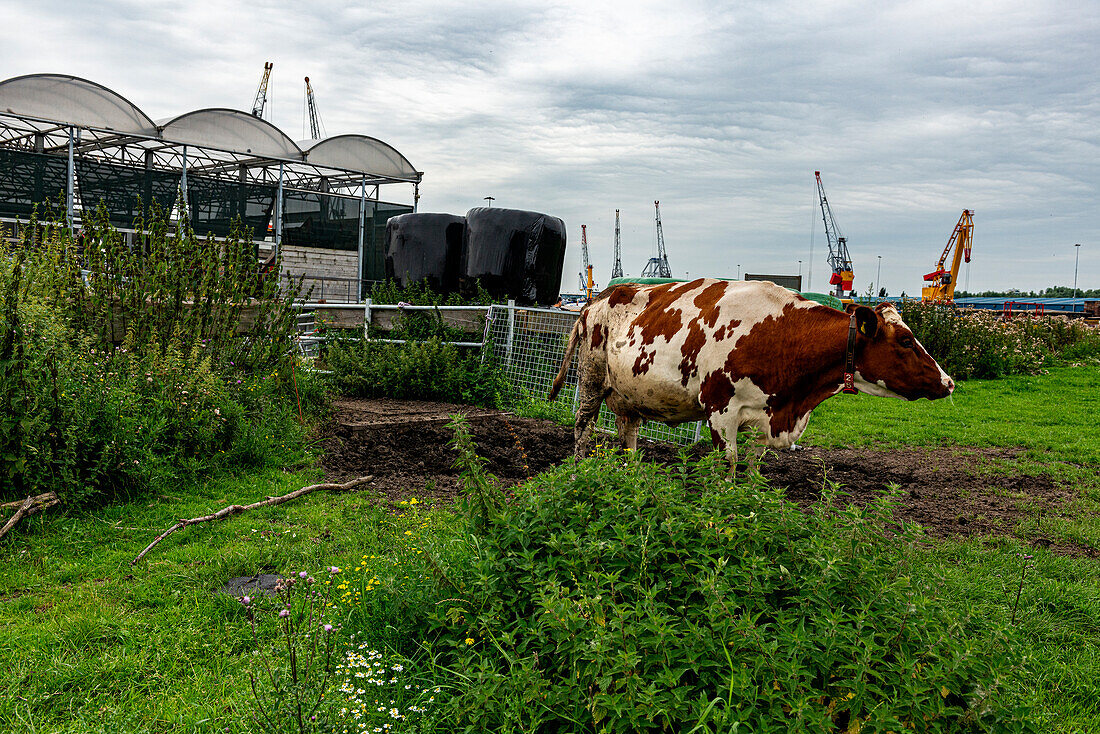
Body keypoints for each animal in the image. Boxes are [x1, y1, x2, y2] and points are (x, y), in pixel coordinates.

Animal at [550, 278, 954, 468]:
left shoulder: (768, 419)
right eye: (906, 340)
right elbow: (727, 470)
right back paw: (578, 470)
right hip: (590, 379)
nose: (948, 382)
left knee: (628, 435)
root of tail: (599, 298)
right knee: (583, 428)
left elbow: (754, 474)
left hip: (629, 394)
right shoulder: (719, 411)